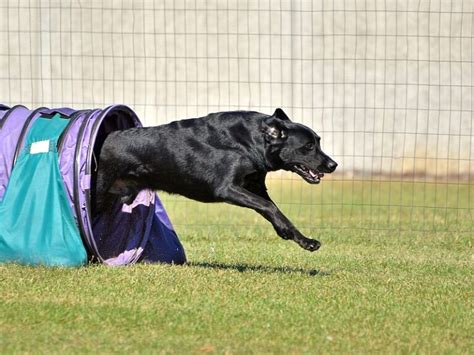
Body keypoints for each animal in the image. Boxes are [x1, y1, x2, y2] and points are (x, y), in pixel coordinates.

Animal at [94, 110, 336, 252]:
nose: (333, 165)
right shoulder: (226, 188)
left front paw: (303, 240)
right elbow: (269, 207)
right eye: (308, 146)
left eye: (318, 141)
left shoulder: (256, 188)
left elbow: (274, 209)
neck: (250, 143)